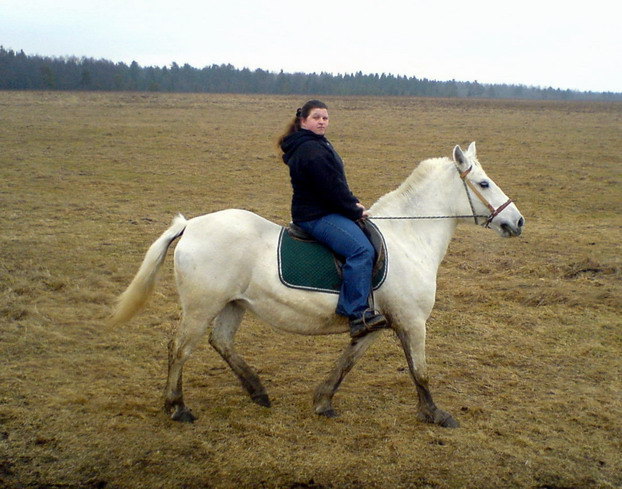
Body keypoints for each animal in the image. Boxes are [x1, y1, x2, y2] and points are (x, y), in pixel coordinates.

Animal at [112, 142, 528, 428]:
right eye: (483, 182)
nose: (518, 221)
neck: (407, 236)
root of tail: (190, 225)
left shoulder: (377, 324)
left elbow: (347, 363)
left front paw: (323, 402)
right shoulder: (412, 321)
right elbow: (420, 370)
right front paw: (436, 414)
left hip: (233, 304)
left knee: (222, 342)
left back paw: (257, 392)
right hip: (201, 306)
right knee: (179, 350)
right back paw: (177, 408)